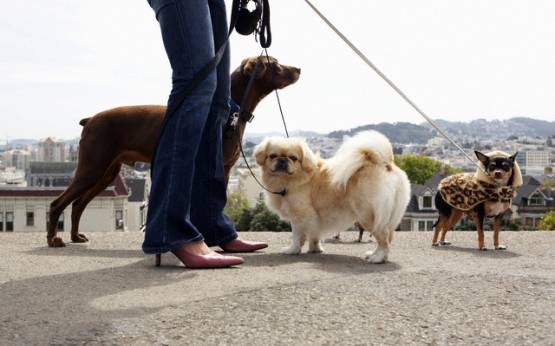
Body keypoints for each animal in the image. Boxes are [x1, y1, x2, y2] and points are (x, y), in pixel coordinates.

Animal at [47, 56, 300, 246]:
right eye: (275, 63)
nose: (298, 68)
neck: (230, 110)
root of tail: (90, 119)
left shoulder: (224, 170)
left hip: (106, 174)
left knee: (77, 204)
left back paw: (75, 237)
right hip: (92, 168)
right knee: (57, 203)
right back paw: (54, 239)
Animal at [254, 130, 410, 262]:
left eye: (293, 158)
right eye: (272, 156)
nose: (282, 160)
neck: (295, 178)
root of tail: (385, 163)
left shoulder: (299, 215)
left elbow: (297, 236)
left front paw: (292, 250)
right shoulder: (314, 218)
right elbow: (314, 235)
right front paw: (315, 249)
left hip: (368, 215)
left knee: (383, 238)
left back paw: (377, 258)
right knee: (387, 237)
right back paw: (373, 254)